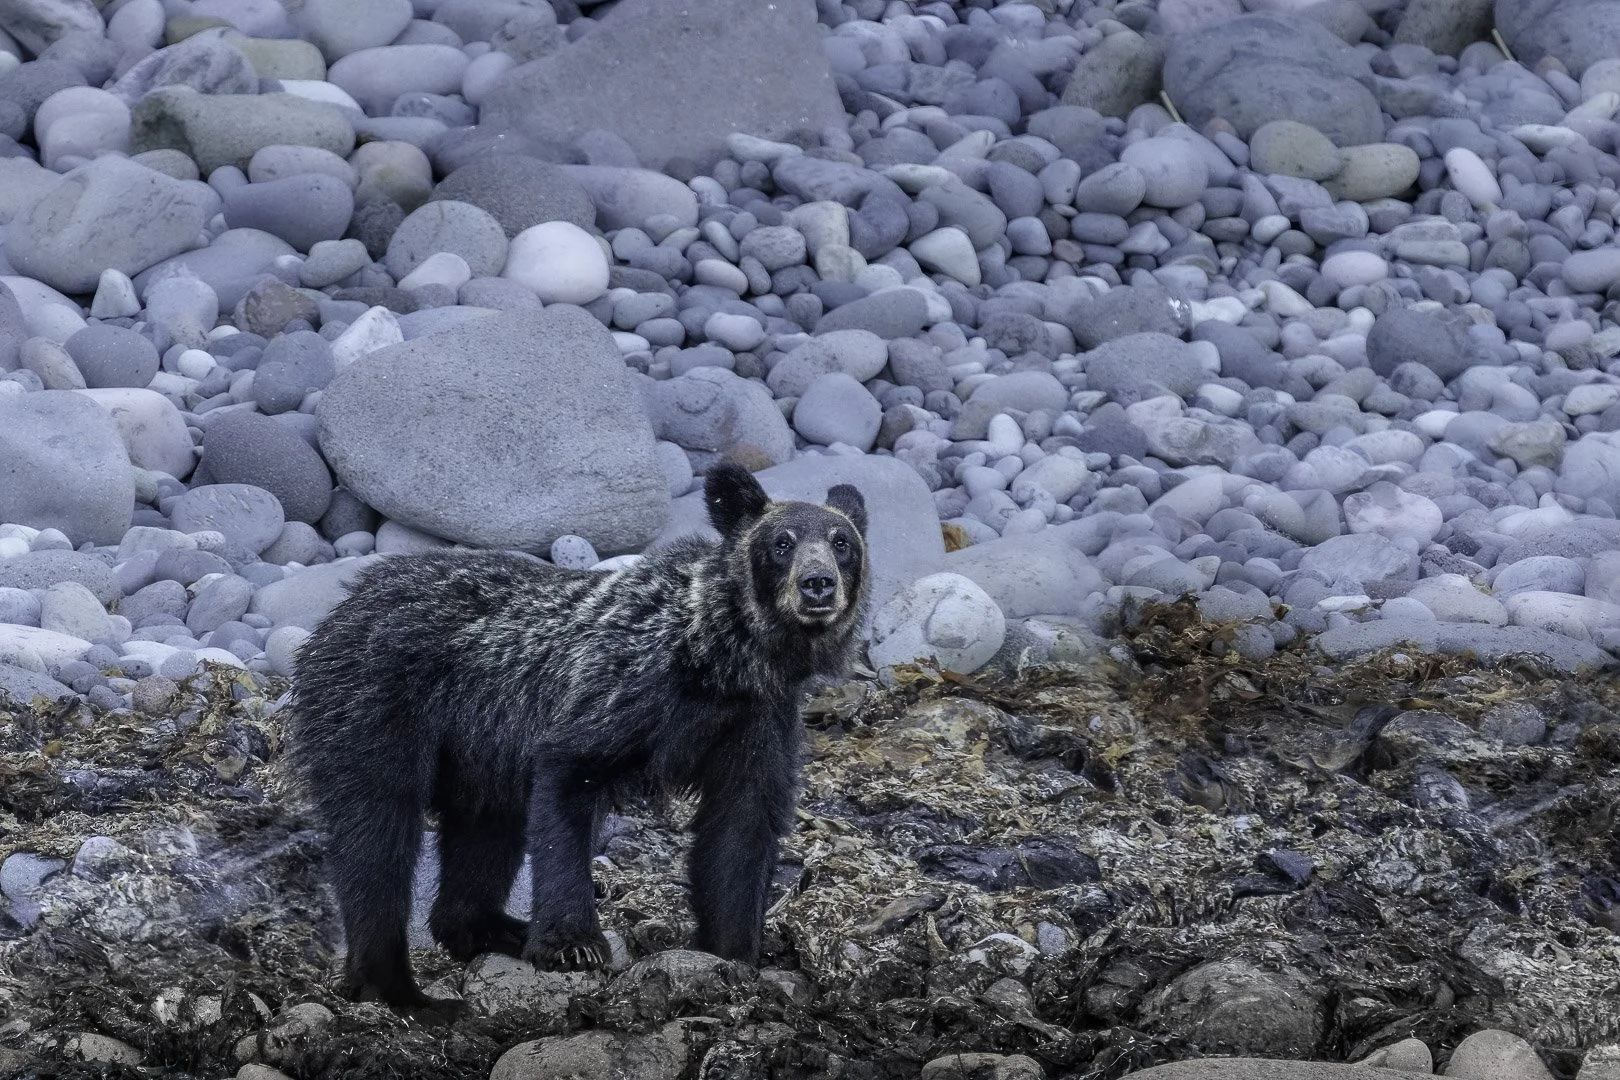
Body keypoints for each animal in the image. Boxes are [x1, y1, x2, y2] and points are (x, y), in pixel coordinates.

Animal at [286, 463, 869, 1018]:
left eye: (841, 541)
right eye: (782, 542)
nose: (818, 583)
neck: (723, 660)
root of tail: (343, 605)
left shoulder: (758, 721)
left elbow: (743, 824)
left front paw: (735, 955)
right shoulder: (624, 687)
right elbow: (569, 778)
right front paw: (573, 942)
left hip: (478, 750)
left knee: (484, 827)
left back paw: (491, 927)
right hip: (378, 708)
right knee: (377, 830)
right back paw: (396, 987)